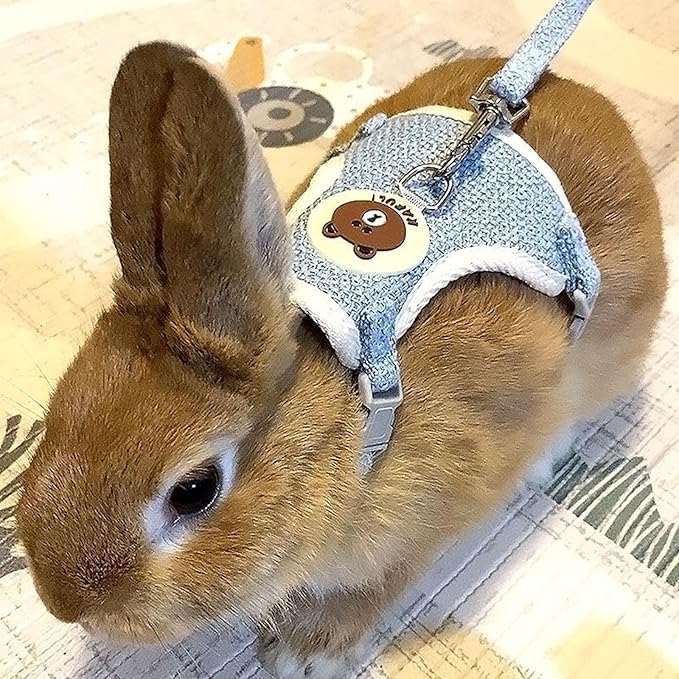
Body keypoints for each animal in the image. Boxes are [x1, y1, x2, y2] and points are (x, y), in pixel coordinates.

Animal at [17, 41, 666, 679]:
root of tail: (590, 100)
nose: (66, 603)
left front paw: (306, 652)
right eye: (57, 413)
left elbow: (385, 581)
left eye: (194, 491)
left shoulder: (436, 509)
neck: (348, 430)